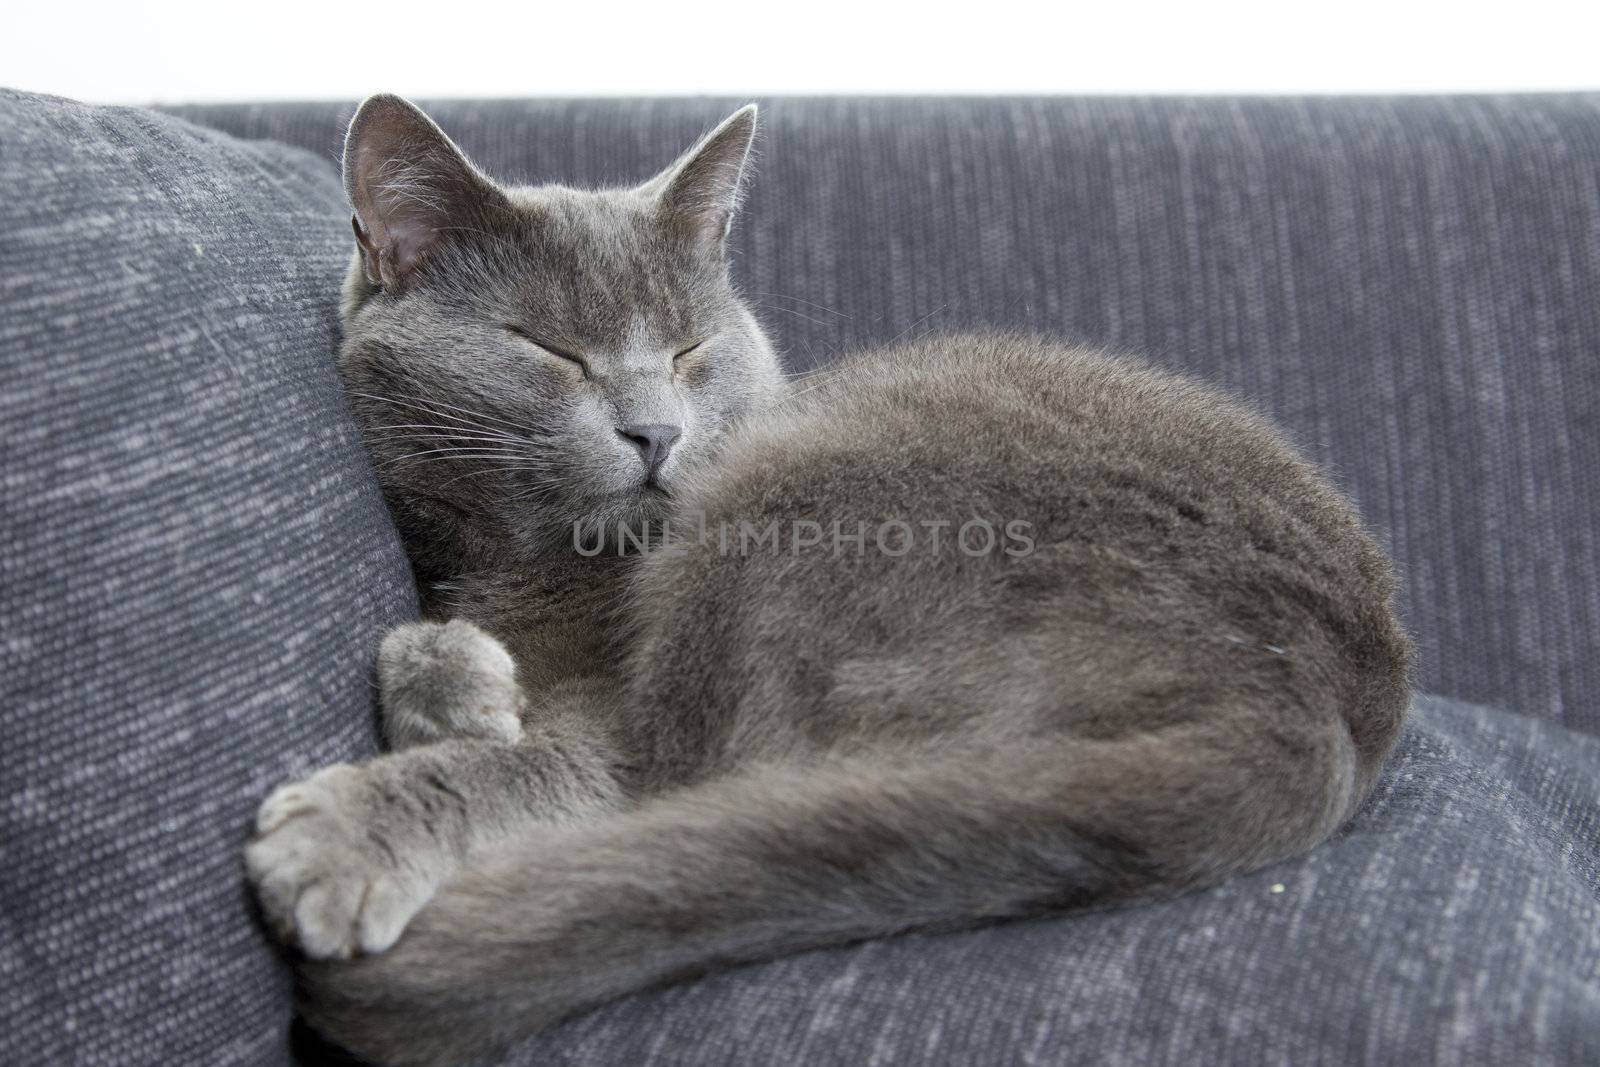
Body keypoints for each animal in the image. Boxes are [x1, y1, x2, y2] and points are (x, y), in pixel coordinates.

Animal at [240, 95, 1414, 1062]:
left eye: (690, 348)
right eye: (549, 348)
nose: (656, 431)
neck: (528, 563)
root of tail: (1316, 692)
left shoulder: (614, 716)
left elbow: (544, 764)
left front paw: (350, 829)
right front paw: (456, 683)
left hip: (794, 497)